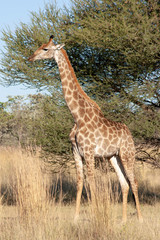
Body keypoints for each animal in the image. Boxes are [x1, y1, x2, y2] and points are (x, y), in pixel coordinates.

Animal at [28, 35, 142, 223]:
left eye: (45, 49)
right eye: (40, 46)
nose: (30, 57)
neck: (77, 116)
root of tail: (129, 134)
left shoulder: (88, 151)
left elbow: (92, 182)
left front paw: (96, 215)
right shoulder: (75, 151)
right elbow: (80, 182)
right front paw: (75, 217)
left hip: (127, 154)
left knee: (133, 181)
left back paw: (139, 218)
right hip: (113, 157)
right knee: (124, 184)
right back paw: (124, 220)